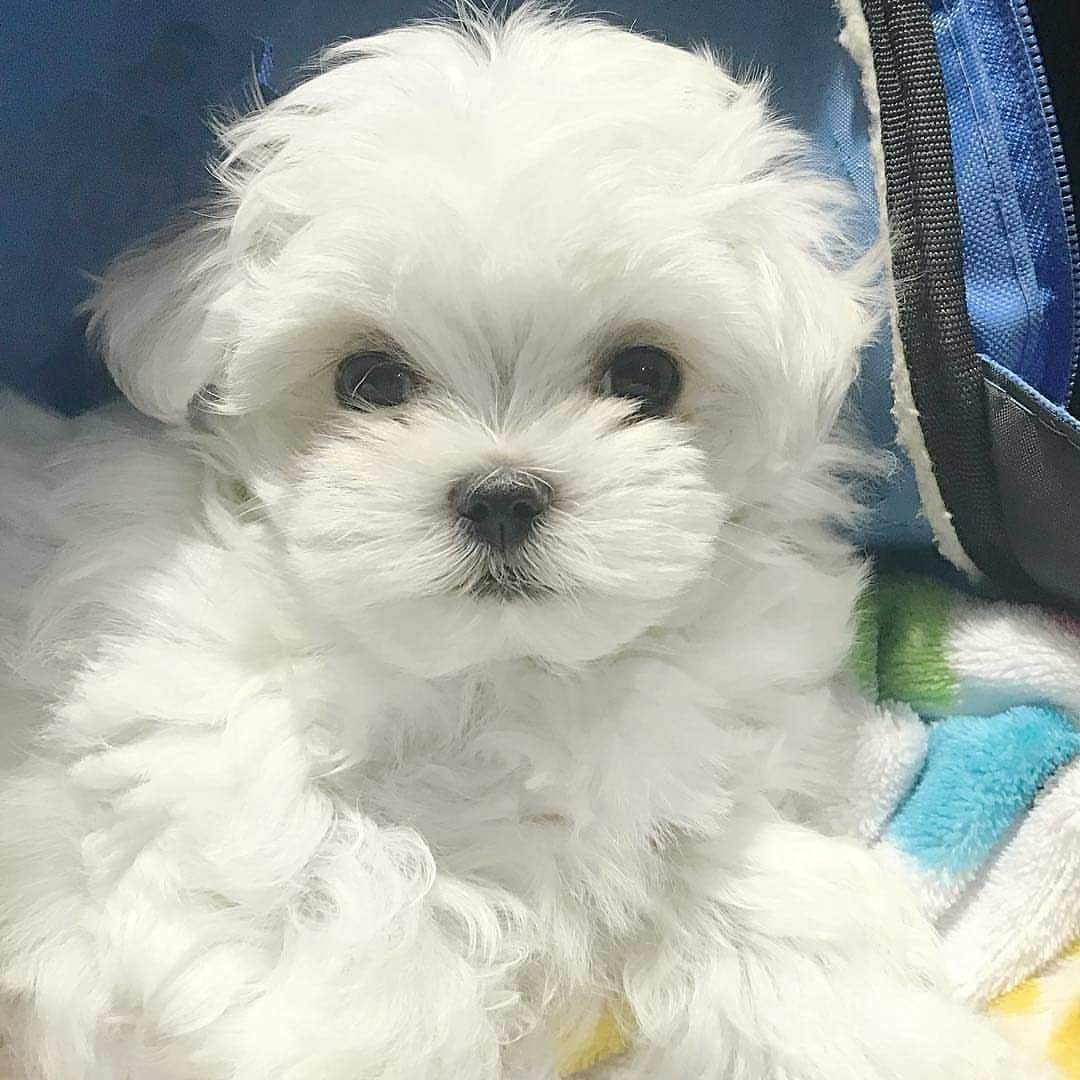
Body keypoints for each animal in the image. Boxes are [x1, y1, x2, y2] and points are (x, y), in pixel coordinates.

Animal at [0, 7, 1051, 1078]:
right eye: (369, 380)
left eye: (646, 374)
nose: (502, 496)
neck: (505, 675)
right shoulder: (213, 768)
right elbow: (346, 894)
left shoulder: (687, 780)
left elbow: (774, 907)